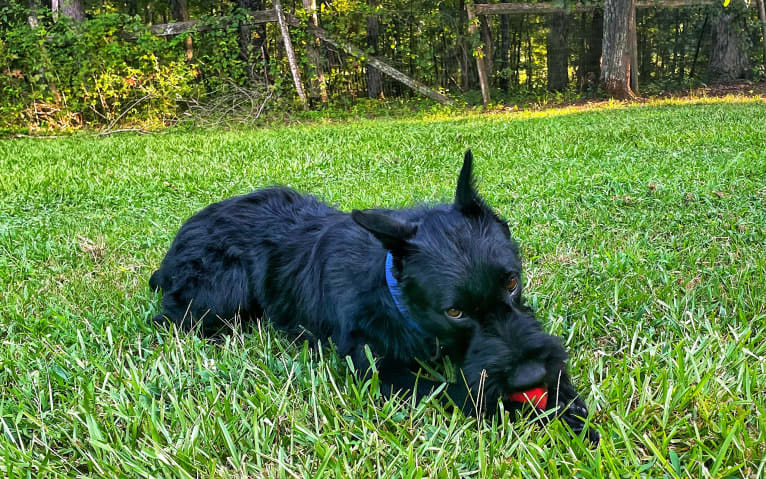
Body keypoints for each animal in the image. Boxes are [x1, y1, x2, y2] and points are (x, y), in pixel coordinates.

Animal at [150, 150, 600, 442]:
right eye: (454, 311)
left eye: (511, 283)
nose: (530, 377)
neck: (397, 297)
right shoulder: (378, 367)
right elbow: (450, 390)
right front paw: (524, 411)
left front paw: (569, 407)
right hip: (220, 295)